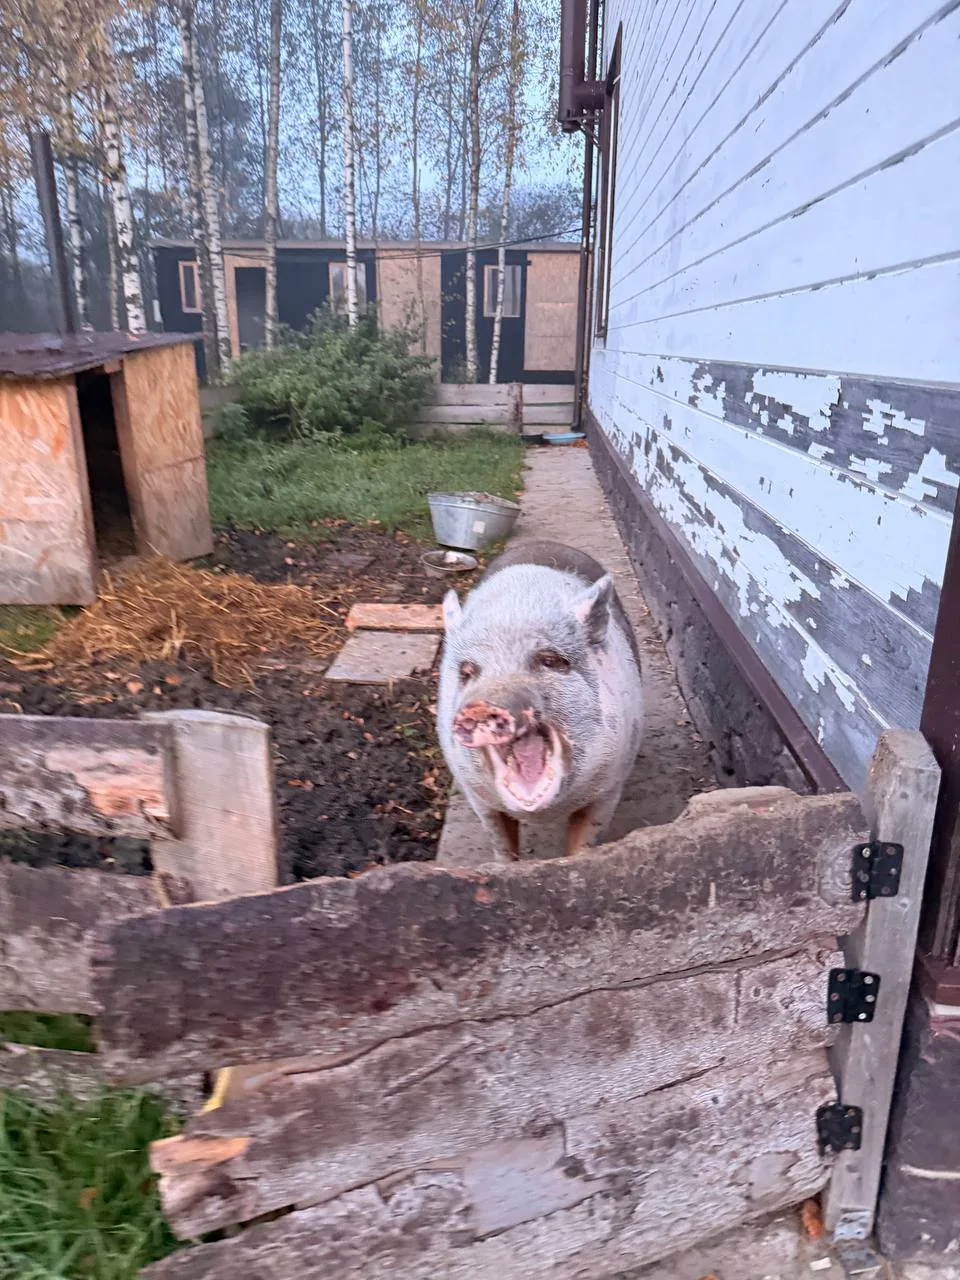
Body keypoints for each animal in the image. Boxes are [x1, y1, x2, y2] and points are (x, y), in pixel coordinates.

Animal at [437, 539, 644, 861]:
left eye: (550, 660)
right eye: (467, 671)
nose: (482, 705)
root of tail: (542, 543)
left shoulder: (609, 787)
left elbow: (586, 837)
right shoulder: (477, 796)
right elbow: (501, 841)